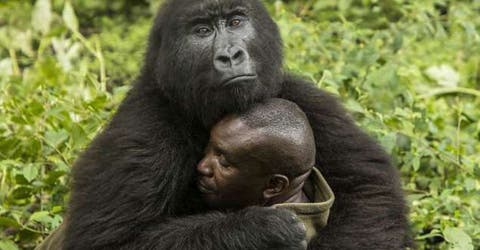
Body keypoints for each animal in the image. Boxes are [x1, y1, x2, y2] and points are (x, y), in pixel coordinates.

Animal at [62, 0, 408, 250]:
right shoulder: (141, 132)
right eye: (202, 30)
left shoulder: (302, 97)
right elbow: (111, 241)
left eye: (236, 22)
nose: (230, 55)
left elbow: (370, 192)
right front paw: (260, 230)